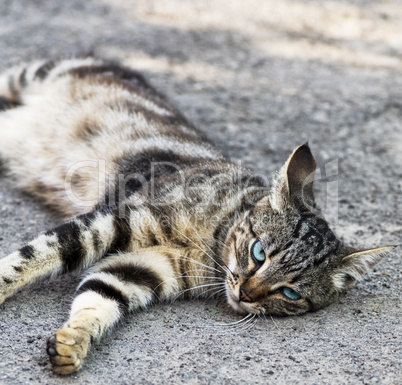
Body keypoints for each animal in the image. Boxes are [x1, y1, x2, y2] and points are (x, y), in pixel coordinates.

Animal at [0, 58, 396, 374]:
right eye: (258, 253)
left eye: (291, 293)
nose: (247, 294)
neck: (212, 246)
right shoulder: (114, 220)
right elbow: (32, 257)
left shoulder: (139, 269)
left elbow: (97, 300)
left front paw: (73, 343)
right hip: (29, 76)